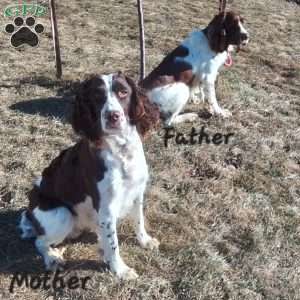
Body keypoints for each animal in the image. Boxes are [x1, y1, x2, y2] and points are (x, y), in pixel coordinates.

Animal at [19, 72, 161, 282]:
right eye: (97, 97)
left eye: (123, 92)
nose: (113, 116)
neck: (121, 150)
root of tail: (29, 210)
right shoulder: (106, 206)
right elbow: (113, 243)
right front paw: (120, 270)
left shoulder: (137, 192)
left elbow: (139, 220)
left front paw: (145, 241)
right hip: (62, 215)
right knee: (40, 241)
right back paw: (52, 258)